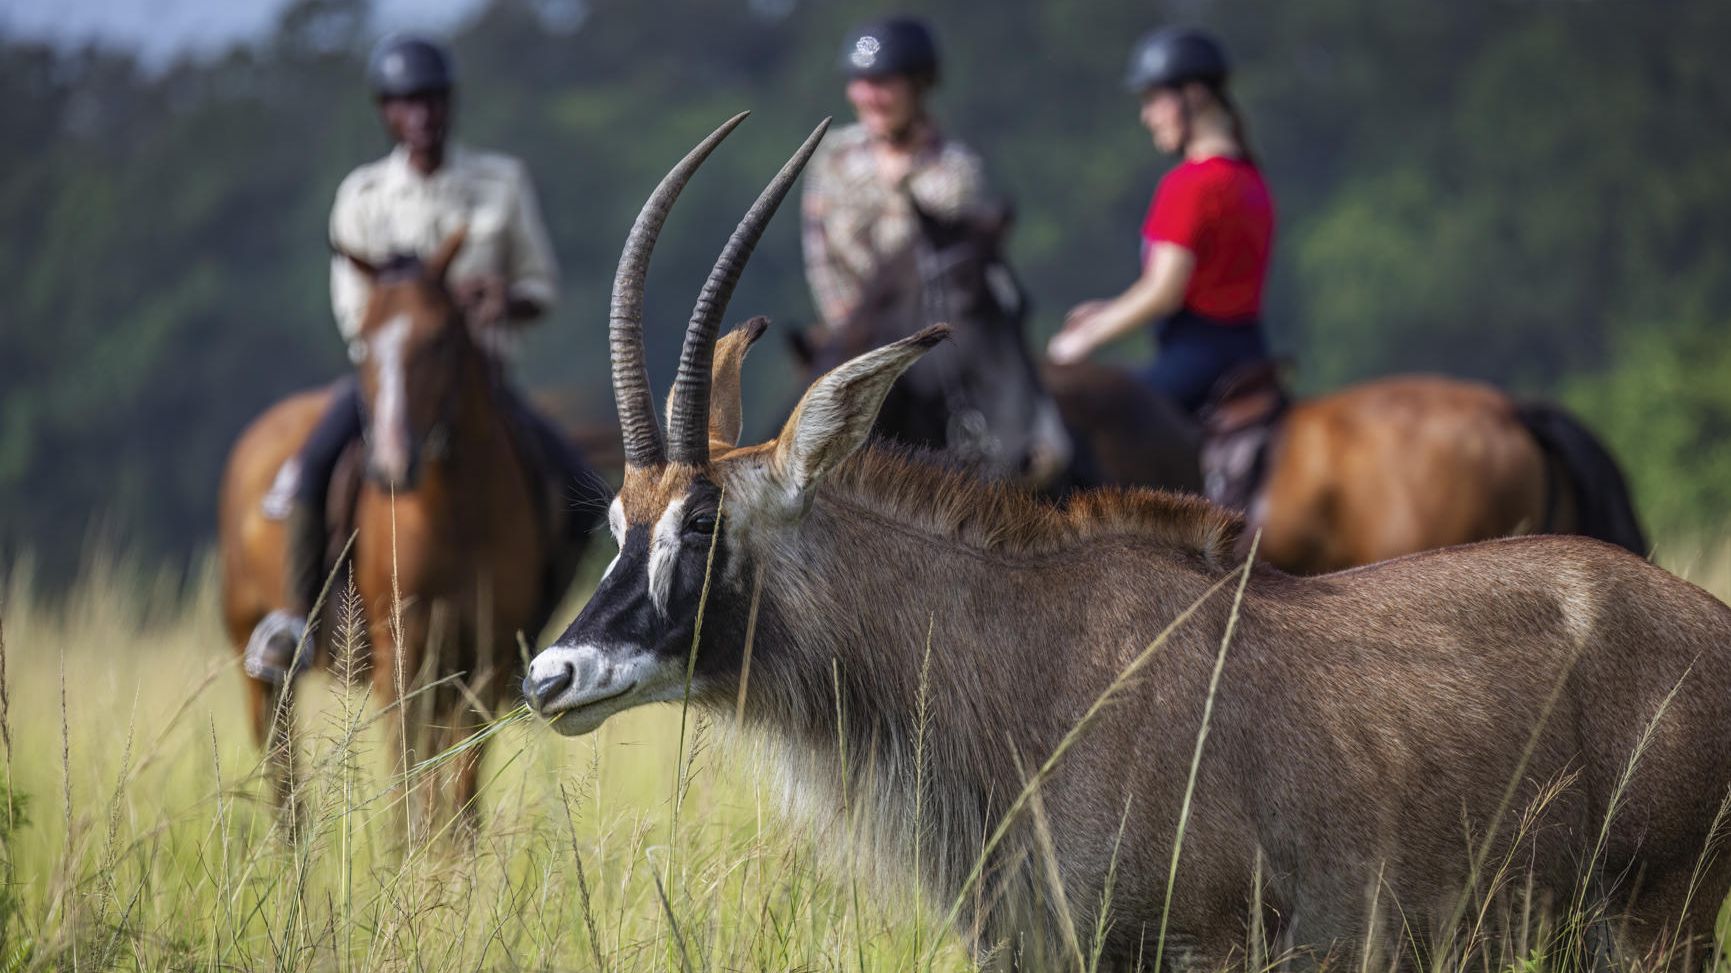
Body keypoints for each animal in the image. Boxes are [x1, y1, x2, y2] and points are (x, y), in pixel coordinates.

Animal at [213, 233, 581, 824]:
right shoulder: (401, 654)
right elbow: (408, 781)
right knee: (283, 773)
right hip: (257, 661)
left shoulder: (485, 661)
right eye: (362, 342)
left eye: (439, 338)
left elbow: (458, 789)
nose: (390, 465)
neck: (457, 517)